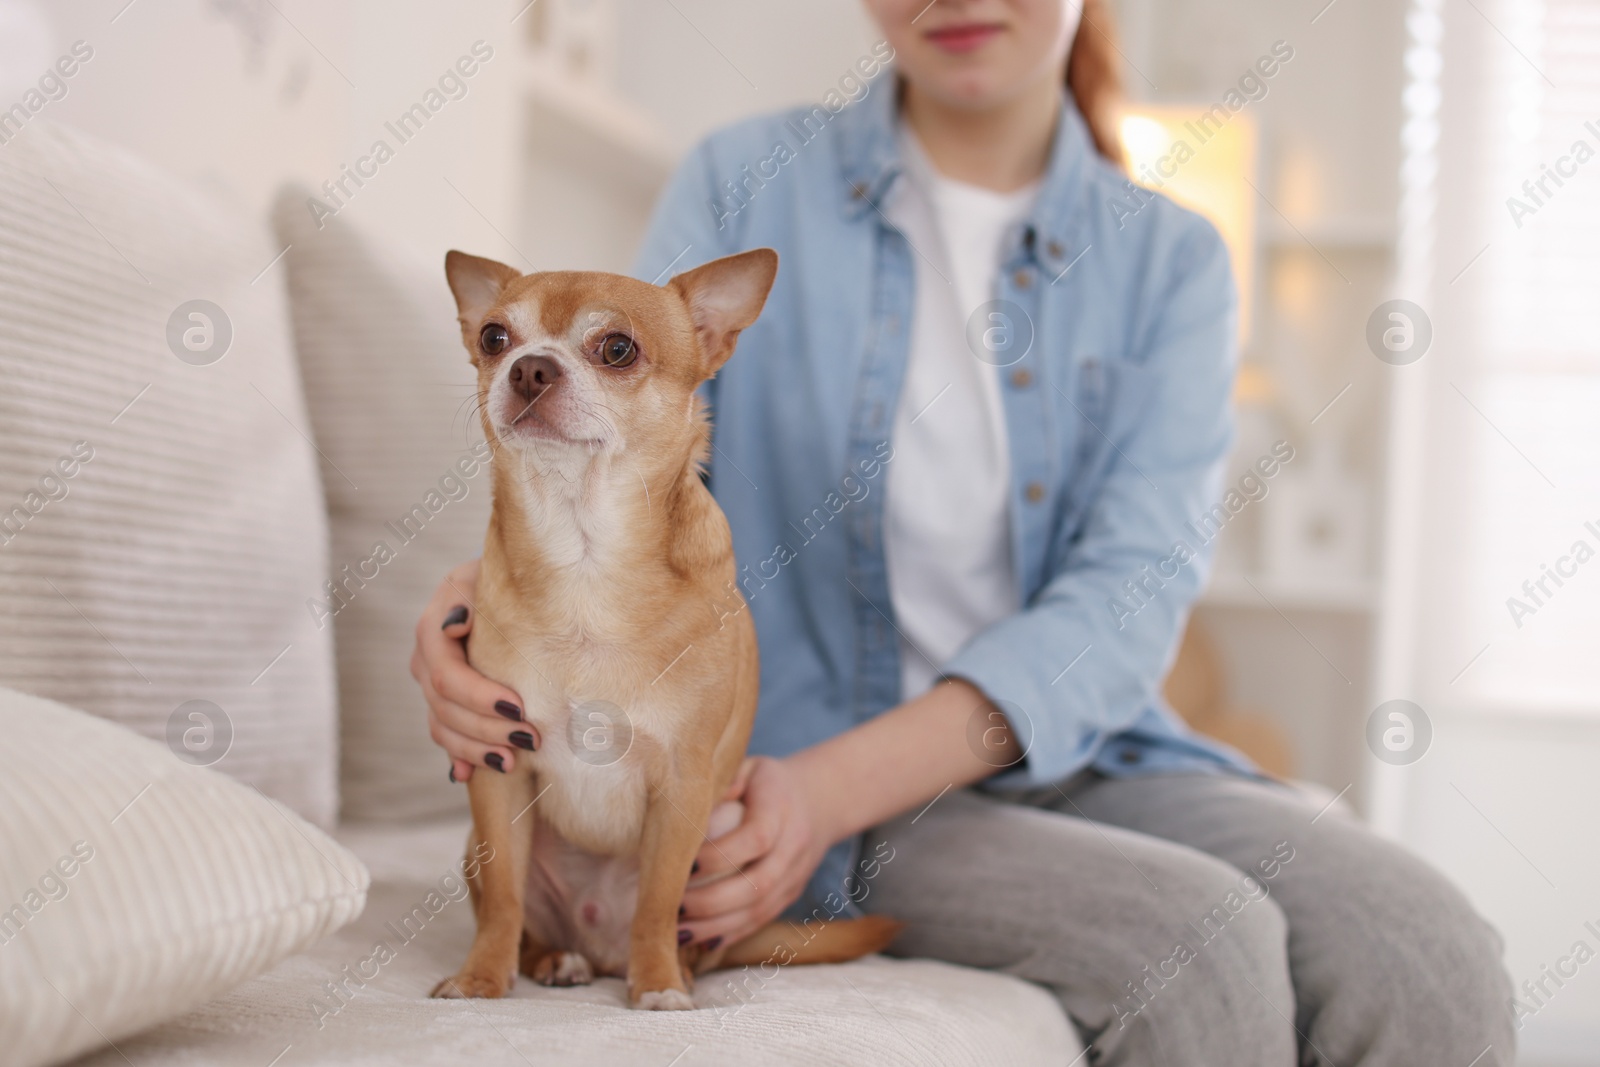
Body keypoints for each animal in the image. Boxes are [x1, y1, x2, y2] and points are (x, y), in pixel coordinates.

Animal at [432, 247, 896, 1011]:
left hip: (721, 832)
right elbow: (501, 900)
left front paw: (655, 988)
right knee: (528, 919)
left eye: (617, 348)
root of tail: (597, 944)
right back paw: (553, 958)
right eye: (494, 337)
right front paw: (479, 978)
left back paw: (669, 968)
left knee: (682, 934)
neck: (585, 554)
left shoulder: (684, 789)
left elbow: (656, 901)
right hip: (478, 842)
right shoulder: (498, 773)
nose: (529, 367)